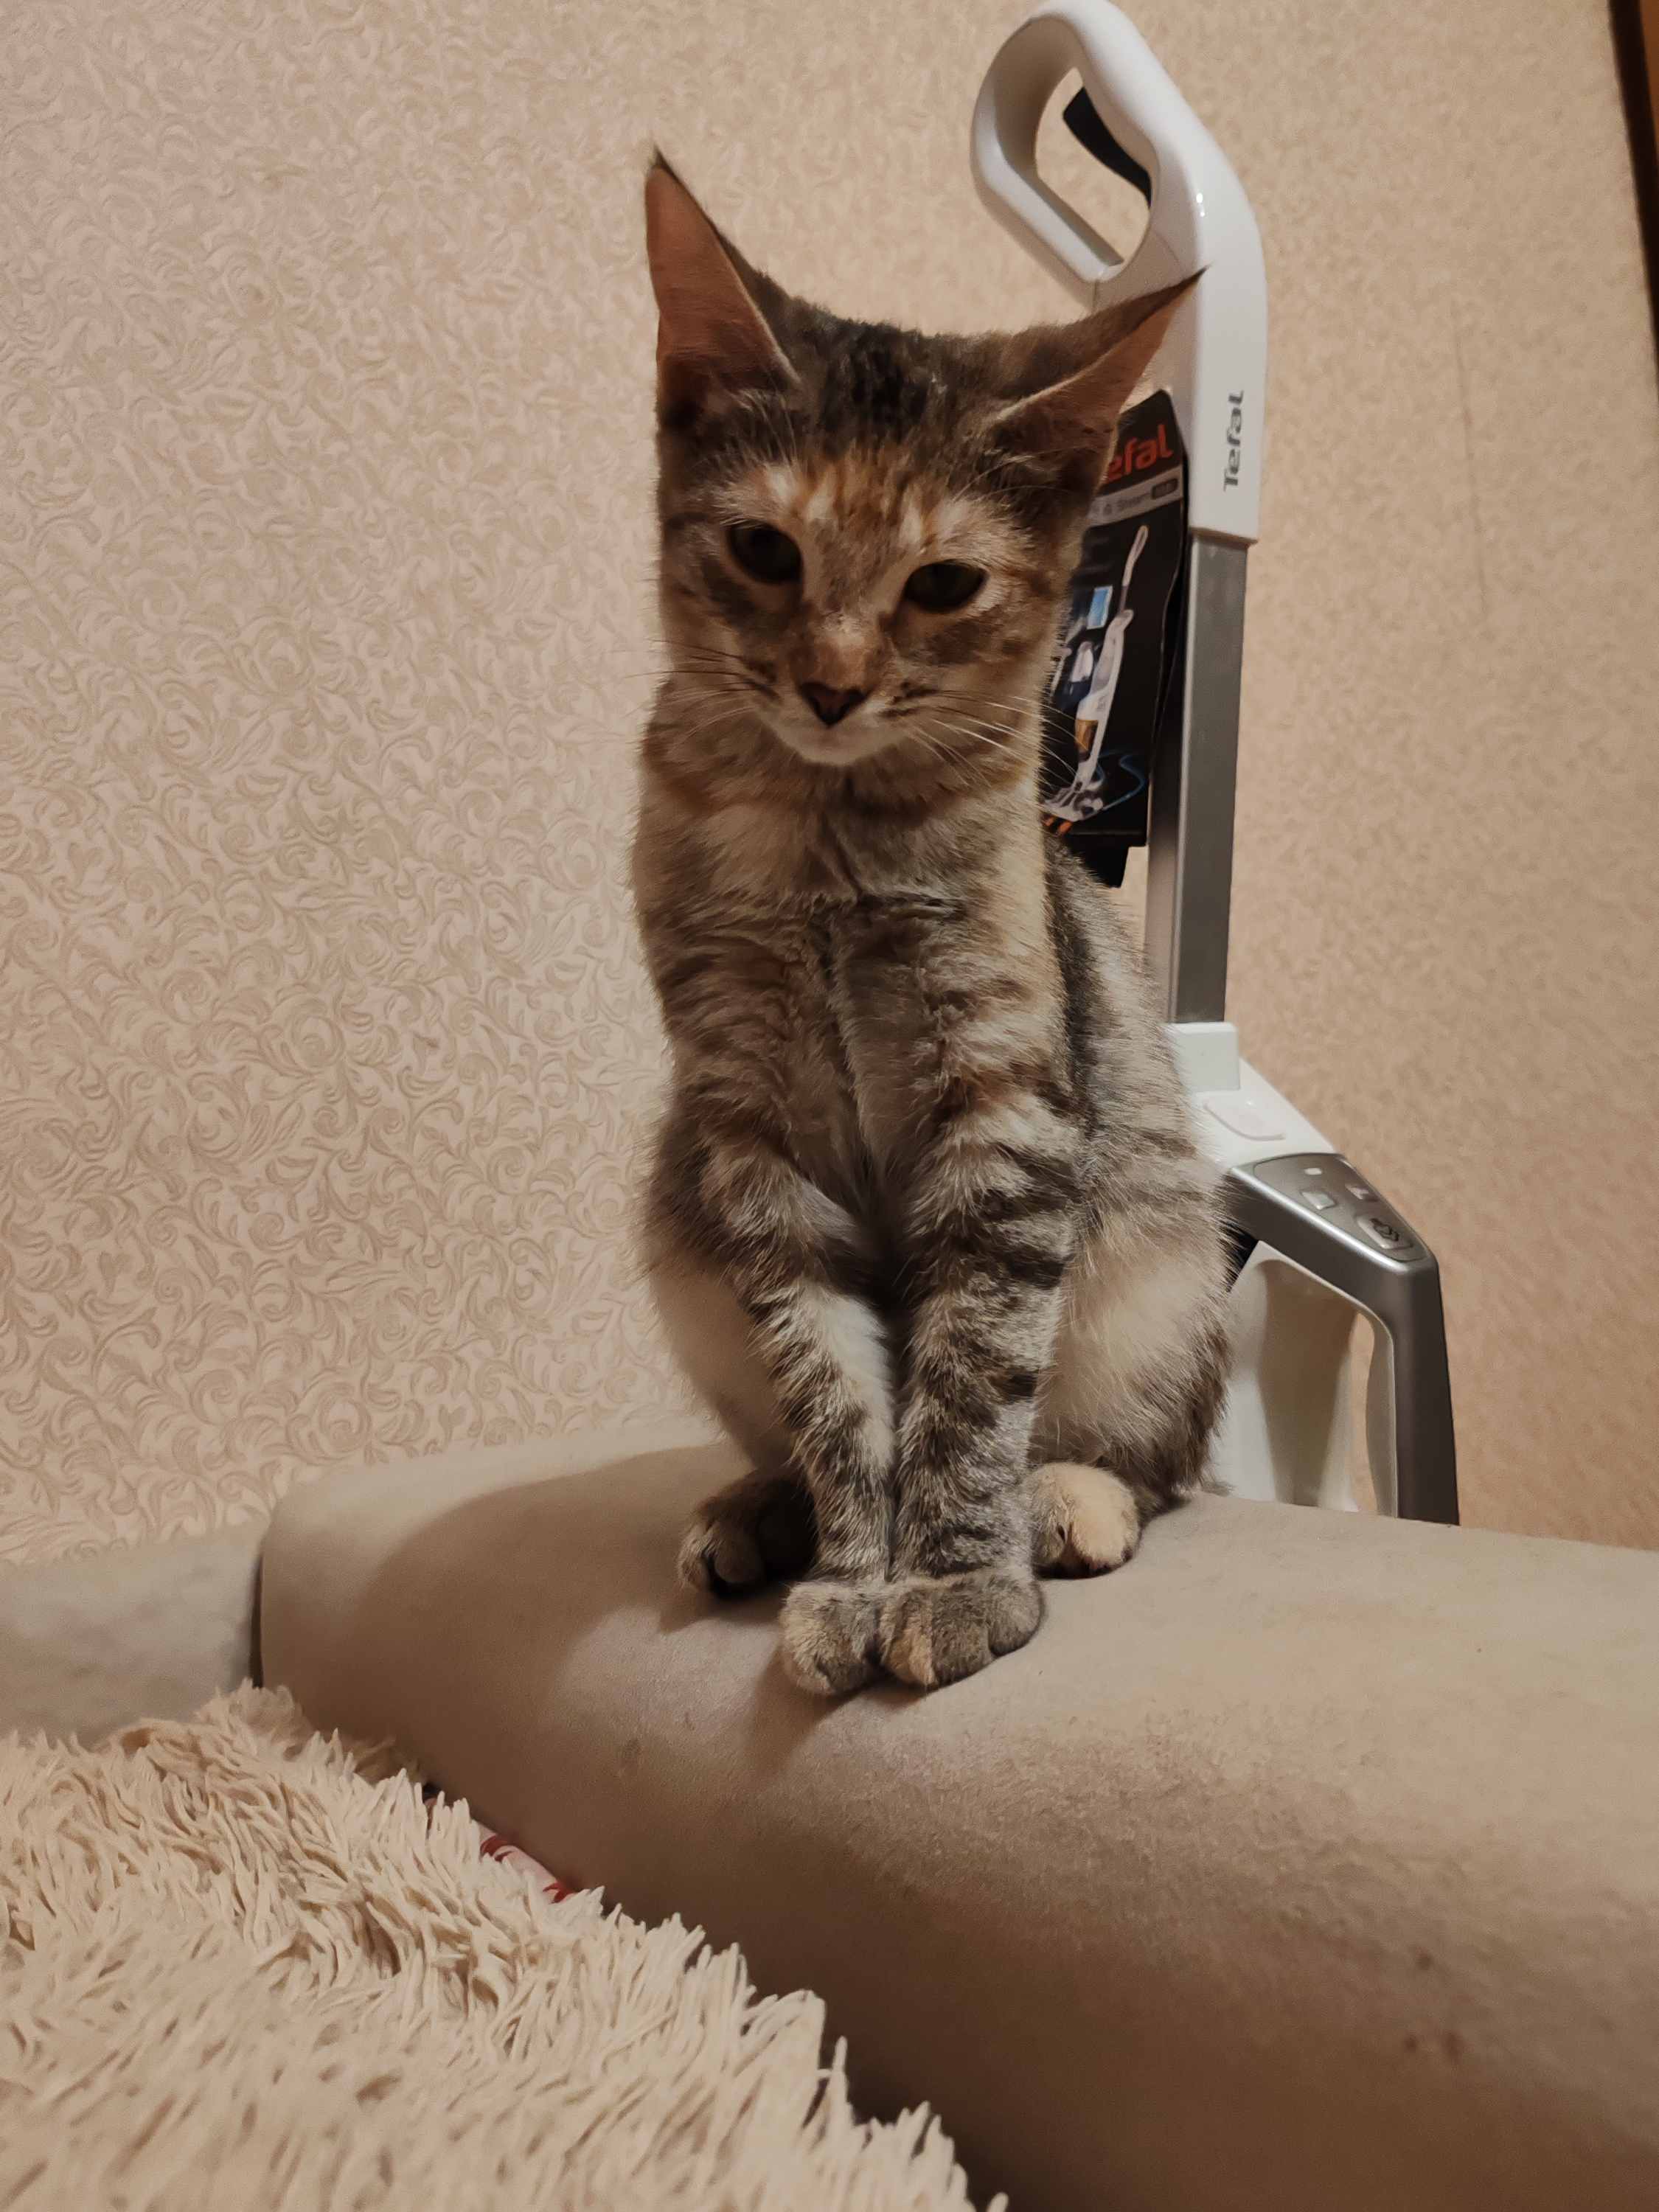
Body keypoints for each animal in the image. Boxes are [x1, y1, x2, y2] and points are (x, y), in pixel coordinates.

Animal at [633, 155, 1230, 1695]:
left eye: (945, 584)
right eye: (764, 550)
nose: (835, 685)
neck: (828, 840)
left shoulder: (1005, 1111)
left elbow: (967, 1381)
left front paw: (956, 1576)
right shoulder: (751, 1138)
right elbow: (836, 1394)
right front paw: (853, 1578)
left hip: (1159, 1271)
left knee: (1160, 1463)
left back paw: (1067, 1499)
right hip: (679, 1218)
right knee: (782, 1435)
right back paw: (752, 1511)